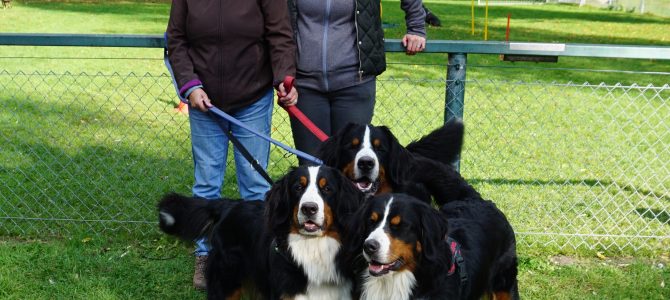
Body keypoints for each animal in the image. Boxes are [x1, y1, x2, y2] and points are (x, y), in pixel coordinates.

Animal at [159, 165, 368, 298]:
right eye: (298, 187)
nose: (309, 208)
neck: (313, 248)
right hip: (226, 282)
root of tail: (229, 205)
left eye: (327, 189)